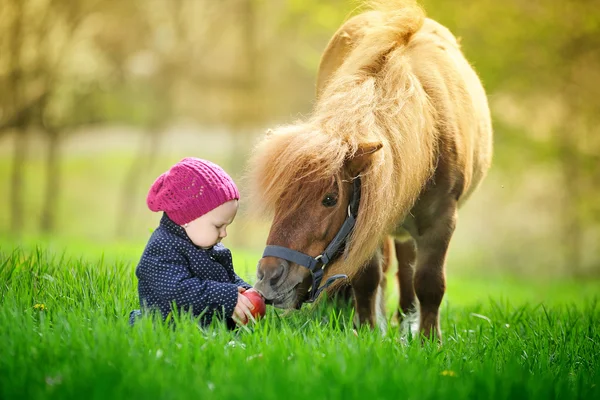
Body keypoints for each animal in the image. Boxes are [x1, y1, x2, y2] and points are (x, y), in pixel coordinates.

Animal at [248, 0, 492, 340]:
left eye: (329, 199)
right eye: (279, 199)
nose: (269, 277)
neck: (426, 132)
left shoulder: (441, 220)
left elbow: (429, 283)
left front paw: (428, 340)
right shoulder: (368, 219)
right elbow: (367, 280)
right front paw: (366, 332)